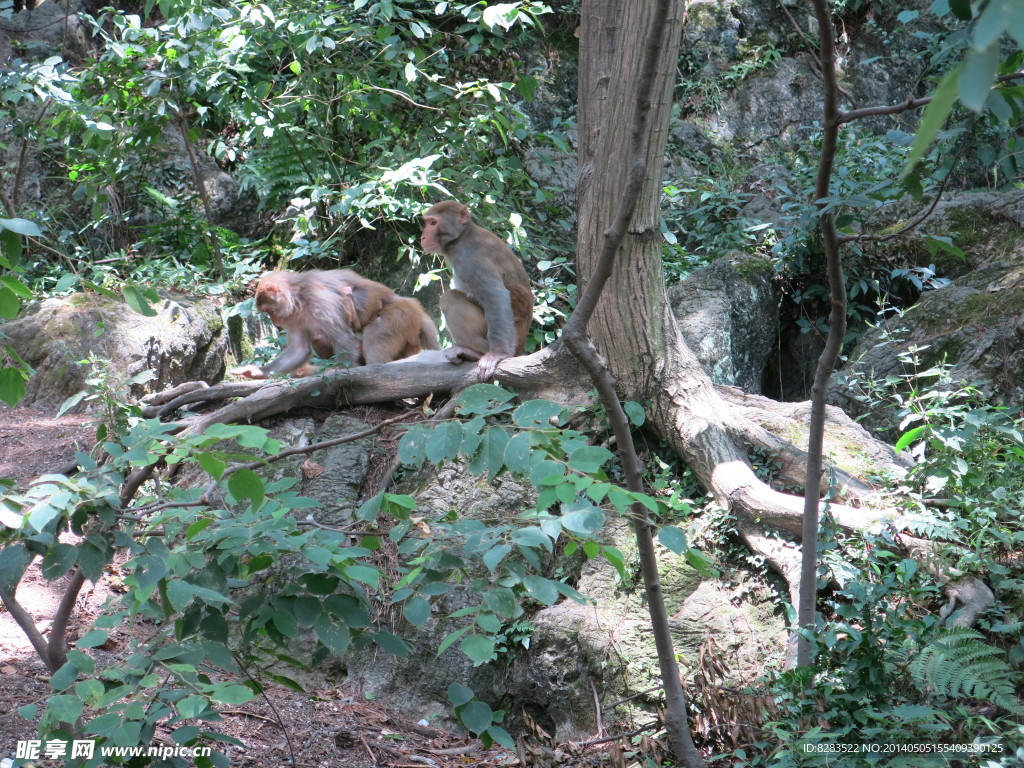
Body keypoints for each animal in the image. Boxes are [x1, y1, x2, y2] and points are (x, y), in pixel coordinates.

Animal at [232, 270, 440, 378]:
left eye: (269, 311)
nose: (274, 320)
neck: (299, 298)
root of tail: (416, 308)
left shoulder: (321, 303)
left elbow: (346, 342)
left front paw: (341, 371)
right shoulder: (294, 318)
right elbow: (299, 351)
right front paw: (257, 371)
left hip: (398, 318)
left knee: (375, 334)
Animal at [419, 198, 536, 378]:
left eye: (433, 223)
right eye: (427, 223)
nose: (423, 236)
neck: (462, 237)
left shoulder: (472, 259)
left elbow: (496, 296)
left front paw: (498, 354)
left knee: (449, 299)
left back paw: (476, 352)